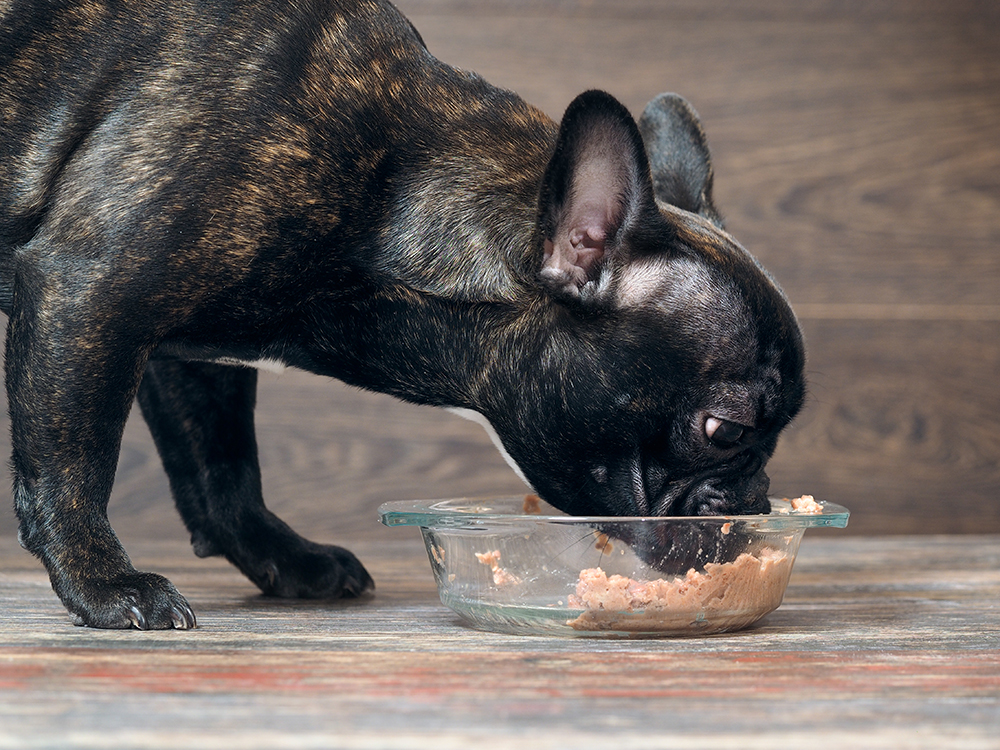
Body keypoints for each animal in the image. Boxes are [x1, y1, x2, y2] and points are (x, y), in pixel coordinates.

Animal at [0, 0, 800, 632]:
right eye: (724, 430)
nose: (756, 499)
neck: (388, 192)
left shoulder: (186, 349)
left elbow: (222, 468)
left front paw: (282, 556)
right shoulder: (90, 290)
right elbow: (74, 462)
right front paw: (104, 584)